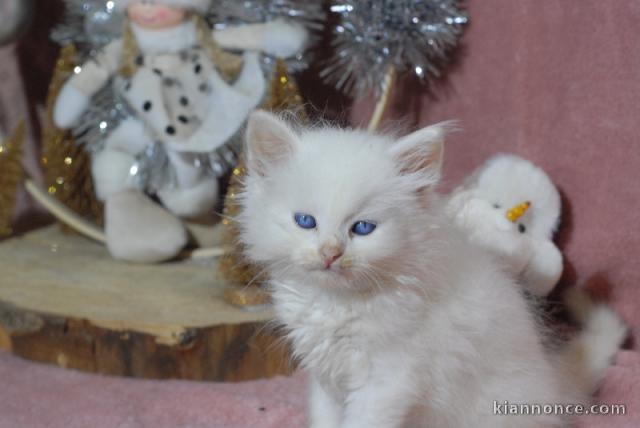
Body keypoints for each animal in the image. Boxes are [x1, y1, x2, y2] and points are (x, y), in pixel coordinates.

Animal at [236, 111, 624, 428]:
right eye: (305, 221)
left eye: (362, 228)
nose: (330, 253)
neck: (338, 303)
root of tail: (555, 385)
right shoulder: (327, 379)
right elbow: (325, 420)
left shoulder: (387, 381)